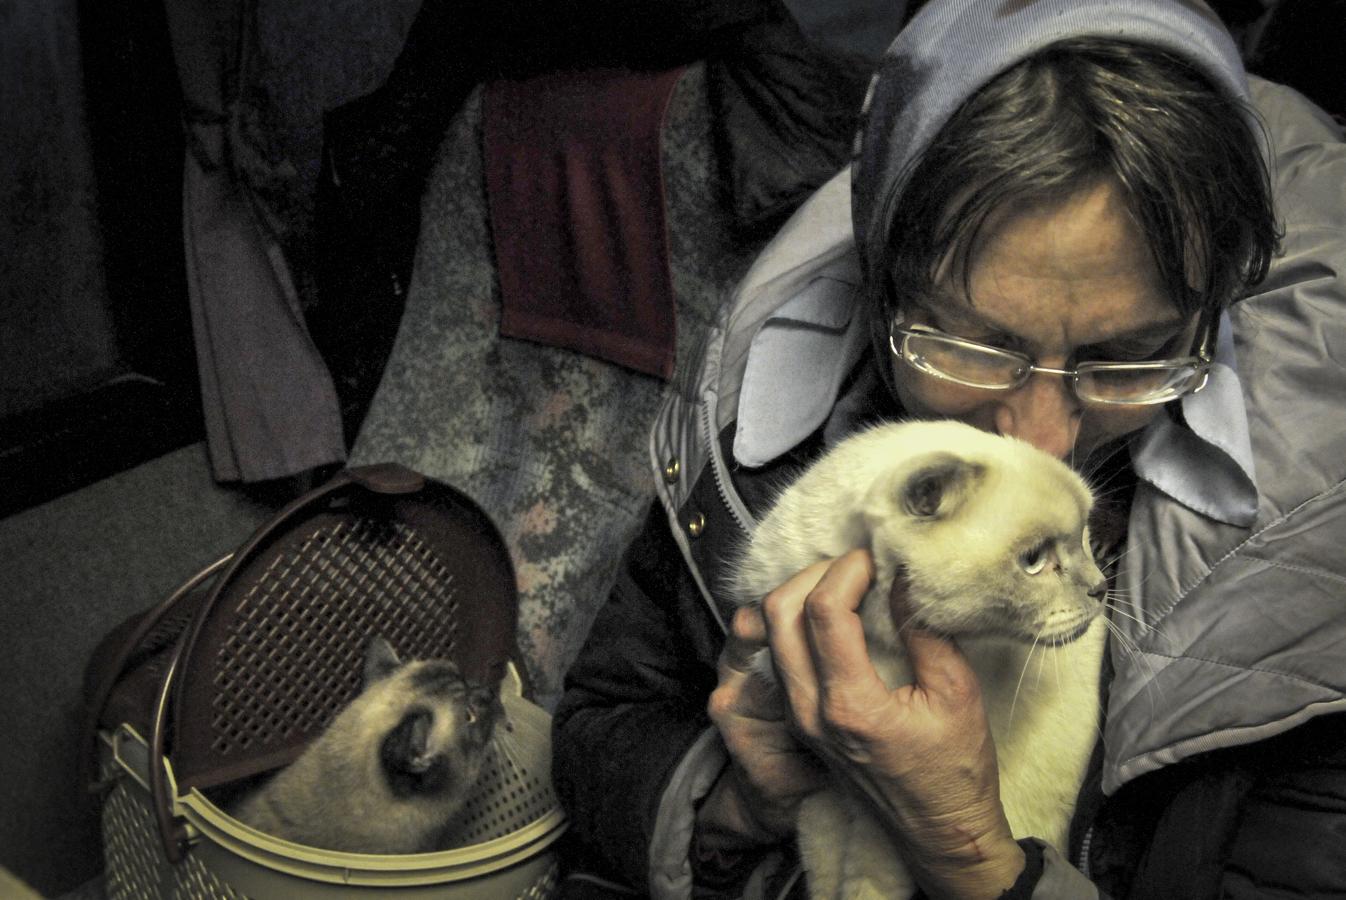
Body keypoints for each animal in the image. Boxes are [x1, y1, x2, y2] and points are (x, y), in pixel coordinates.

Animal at [732, 422, 1109, 898]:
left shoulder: (884, 825)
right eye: (1034, 560)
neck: (880, 651)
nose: (1101, 588)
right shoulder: (826, 799)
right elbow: (825, 878)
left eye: (1084, 537)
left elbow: (865, 886)